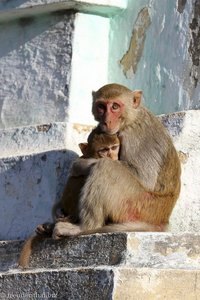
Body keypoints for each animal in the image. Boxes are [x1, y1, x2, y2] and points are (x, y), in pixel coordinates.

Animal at [52, 83, 180, 238]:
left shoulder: (135, 136)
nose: (106, 121)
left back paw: (84, 227)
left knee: (106, 167)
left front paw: (79, 164)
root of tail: (162, 220)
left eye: (115, 106)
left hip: (138, 204)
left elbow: (144, 177)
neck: (131, 118)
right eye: (101, 106)